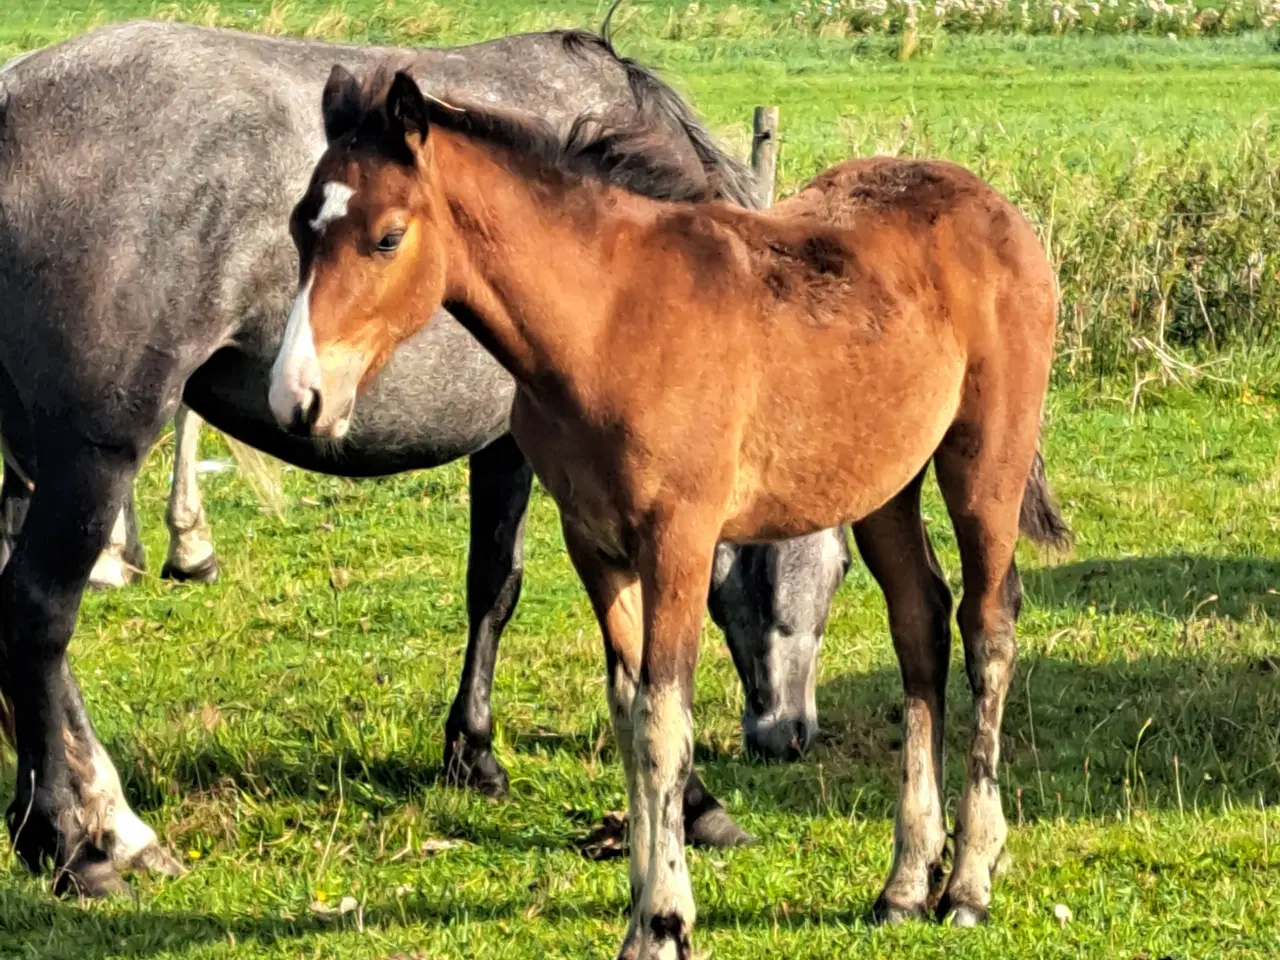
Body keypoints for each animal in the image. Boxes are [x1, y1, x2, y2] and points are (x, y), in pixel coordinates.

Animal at [0, 20, 865, 901]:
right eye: (830, 567)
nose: (790, 732)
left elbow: (492, 588)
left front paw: (472, 754)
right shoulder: (545, 459)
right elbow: (582, 620)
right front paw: (694, 802)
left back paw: (85, 821)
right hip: (95, 451)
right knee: (37, 614)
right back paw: (78, 839)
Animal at [270, 64, 1070, 957]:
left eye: (386, 237)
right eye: (302, 228)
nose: (297, 399)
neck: (607, 321)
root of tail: (997, 209)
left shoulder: (680, 540)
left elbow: (663, 722)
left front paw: (662, 922)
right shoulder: (594, 544)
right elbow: (628, 712)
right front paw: (645, 902)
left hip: (985, 462)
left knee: (987, 629)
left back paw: (968, 881)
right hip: (884, 483)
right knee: (920, 626)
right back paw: (903, 883)